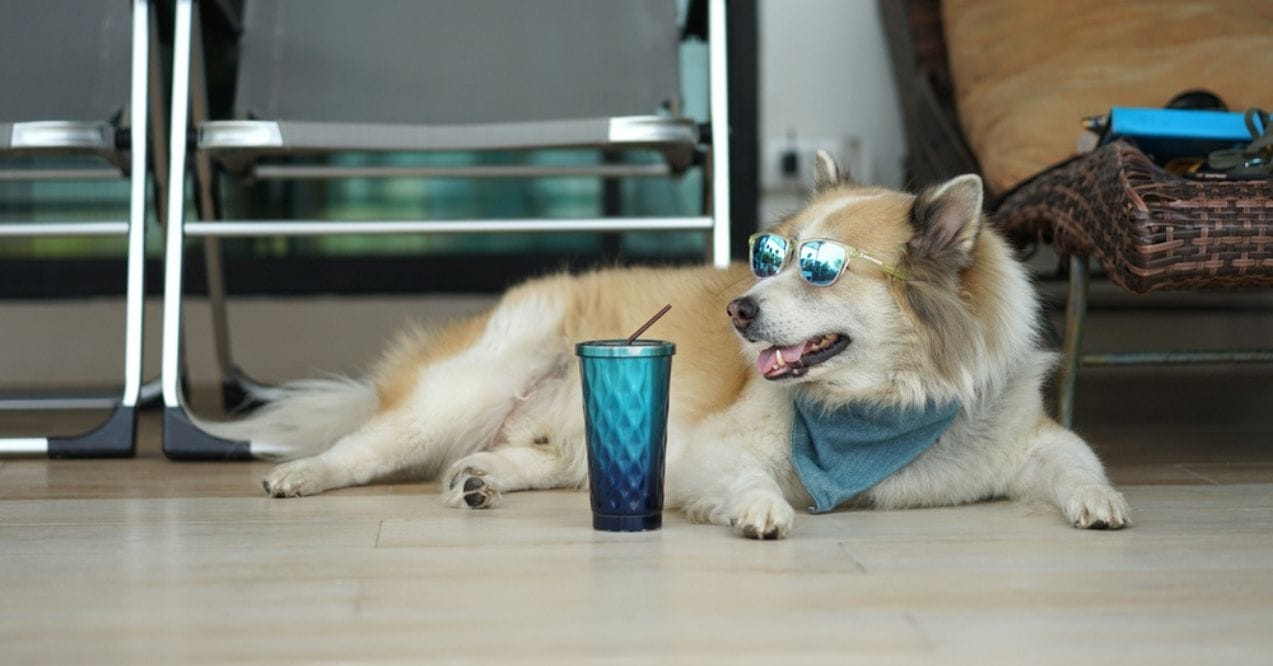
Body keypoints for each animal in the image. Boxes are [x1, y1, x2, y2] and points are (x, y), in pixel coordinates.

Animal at [213, 154, 1130, 539]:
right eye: (769, 255)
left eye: (819, 270)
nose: (737, 312)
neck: (886, 407)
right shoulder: (700, 450)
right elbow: (743, 479)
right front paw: (758, 510)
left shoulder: (1029, 438)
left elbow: (1077, 460)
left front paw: (1100, 503)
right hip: (455, 395)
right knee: (361, 447)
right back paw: (304, 474)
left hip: (559, 436)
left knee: (527, 459)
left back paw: (480, 480)